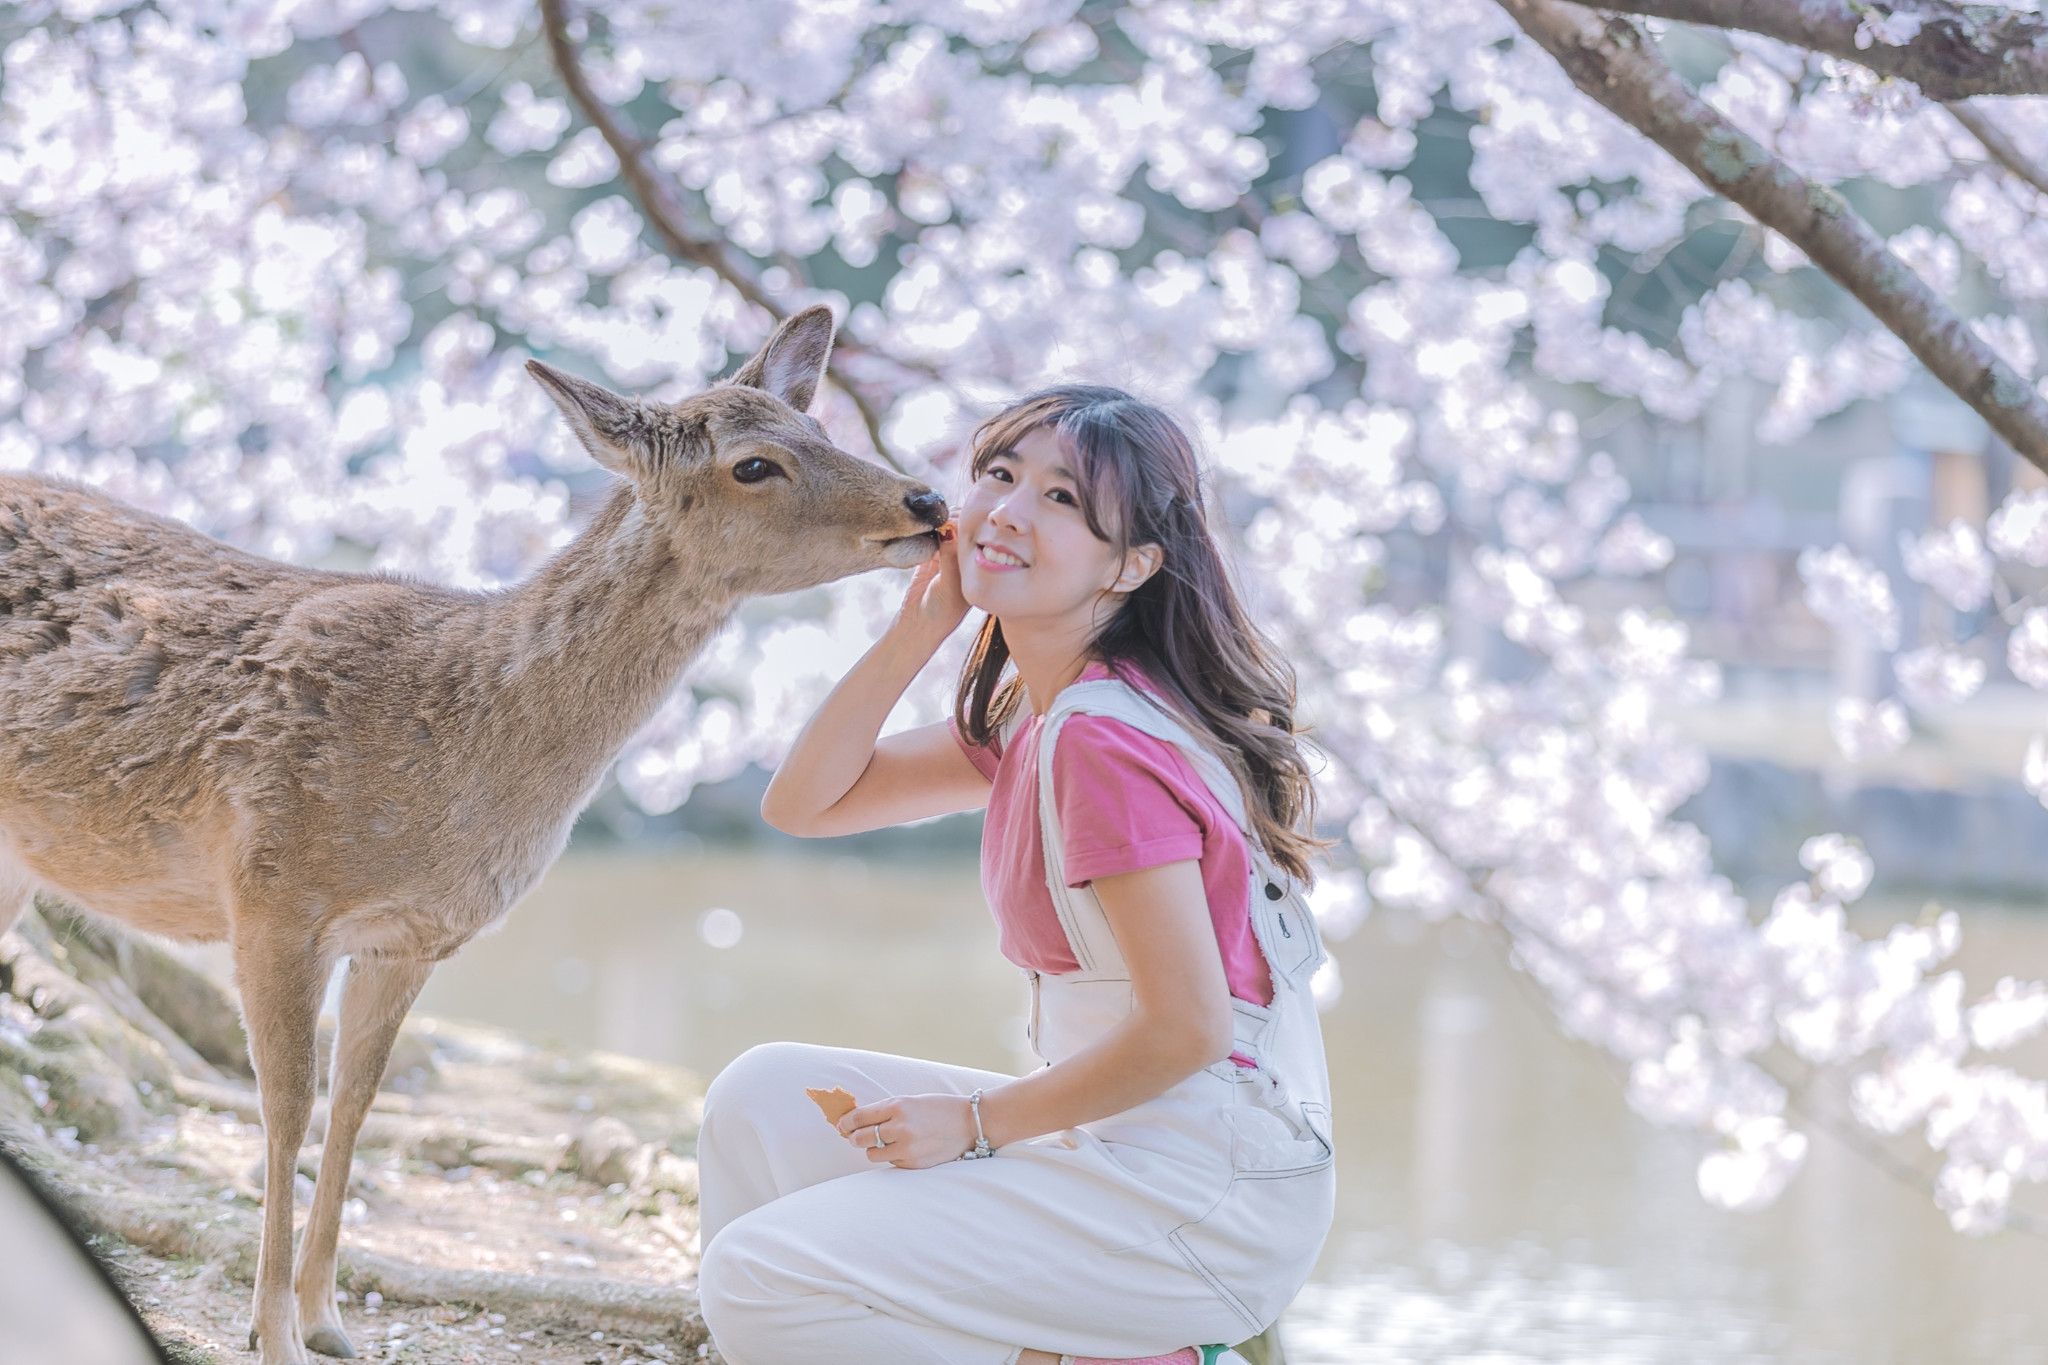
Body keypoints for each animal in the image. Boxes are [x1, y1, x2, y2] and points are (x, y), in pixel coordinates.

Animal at [0, 304, 942, 1358]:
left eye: (818, 426)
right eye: (753, 463)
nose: (927, 497)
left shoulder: (410, 937)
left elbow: (357, 1101)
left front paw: (330, 1320)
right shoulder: (273, 893)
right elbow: (286, 1104)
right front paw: (272, 1332)